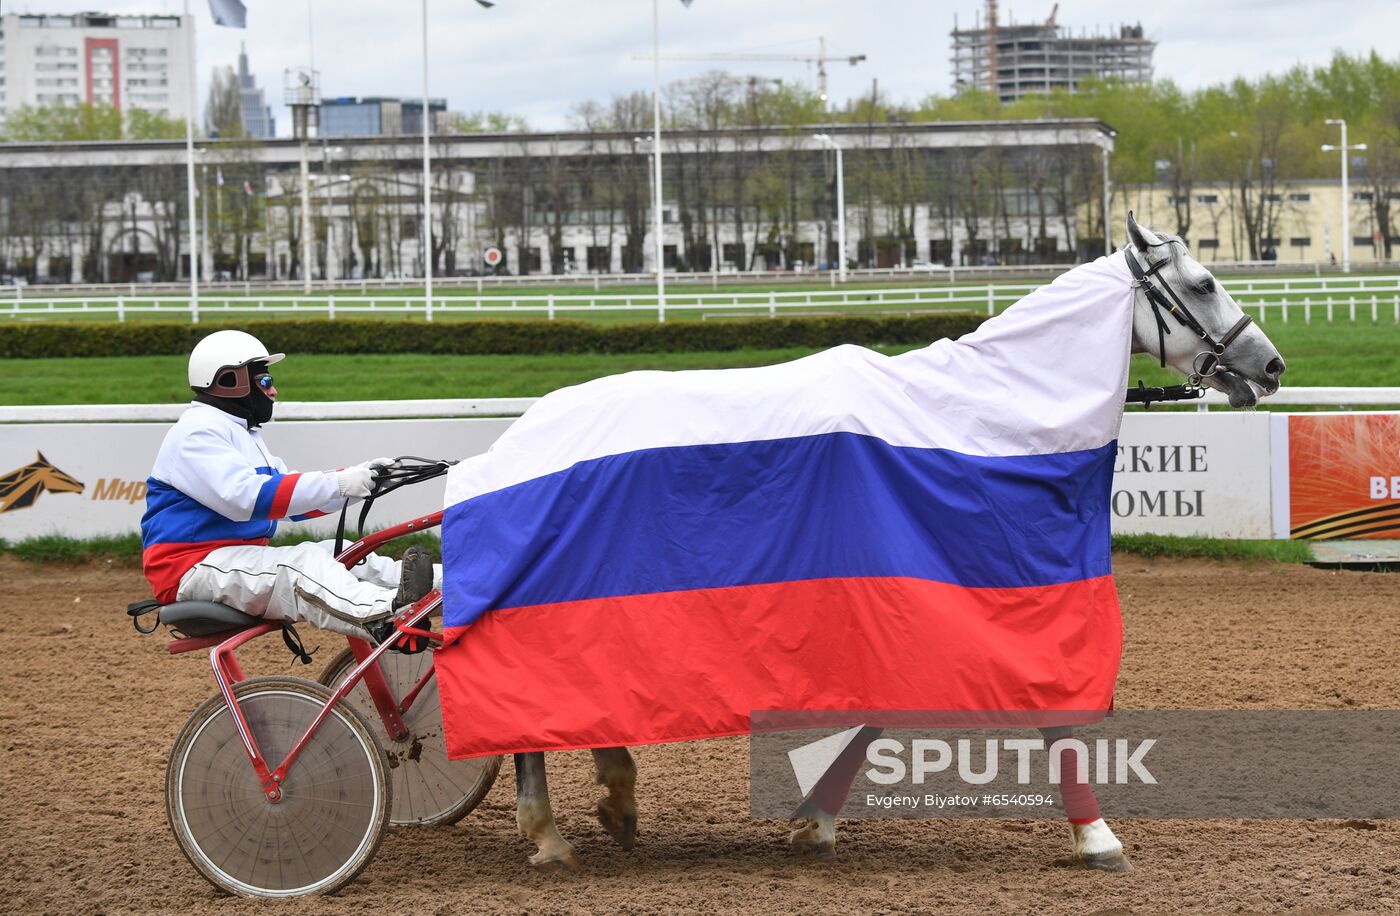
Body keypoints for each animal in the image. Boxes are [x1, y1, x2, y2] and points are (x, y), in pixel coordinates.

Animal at [504, 212, 1282, 873]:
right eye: (1203, 283)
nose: (1270, 364)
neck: (972, 418)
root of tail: (527, 433)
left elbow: (877, 716)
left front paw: (813, 821)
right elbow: (1043, 708)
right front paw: (1097, 837)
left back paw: (613, 801)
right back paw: (548, 833)